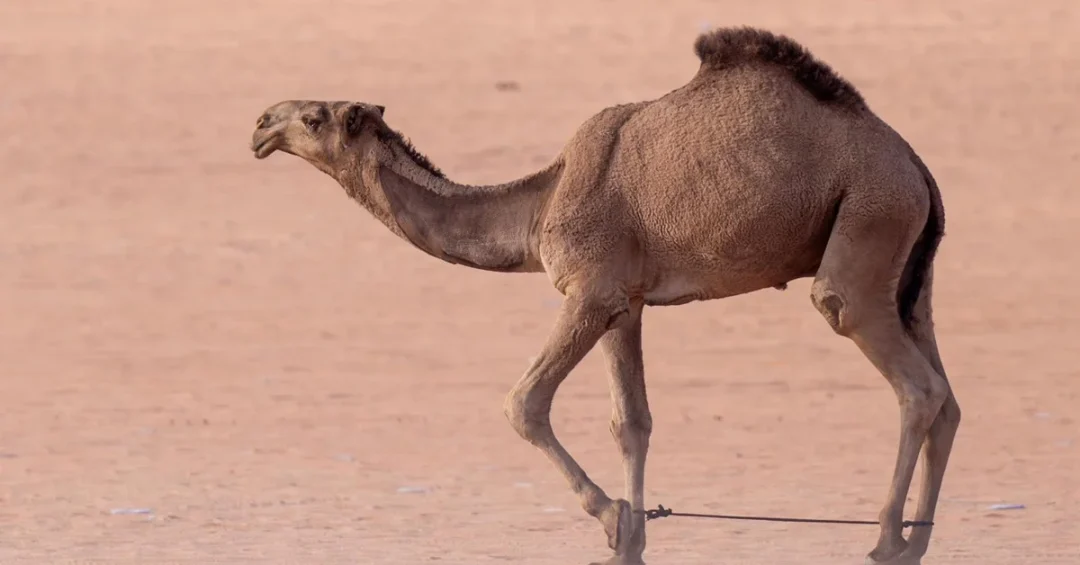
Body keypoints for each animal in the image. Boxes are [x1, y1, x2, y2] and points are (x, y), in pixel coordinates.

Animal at [248, 27, 959, 565]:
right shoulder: (627, 300)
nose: (259, 124)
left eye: (313, 116)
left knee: (897, 366)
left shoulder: (588, 290)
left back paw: (886, 539)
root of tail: (917, 168)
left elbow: (525, 403)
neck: (540, 206)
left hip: (868, 219)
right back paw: (920, 539)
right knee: (946, 397)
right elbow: (632, 421)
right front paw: (633, 534)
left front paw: (612, 516)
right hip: (908, 264)